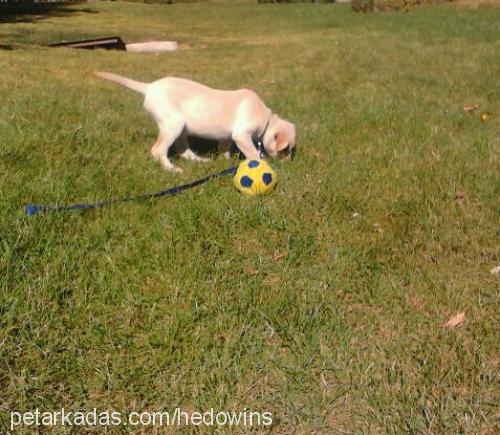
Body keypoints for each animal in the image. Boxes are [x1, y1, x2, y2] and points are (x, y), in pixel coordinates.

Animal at [94, 71, 296, 172]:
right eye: (285, 150)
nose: (289, 164)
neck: (267, 118)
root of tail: (150, 87)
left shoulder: (228, 137)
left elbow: (225, 148)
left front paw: (225, 160)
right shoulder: (241, 135)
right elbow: (253, 153)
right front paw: (262, 164)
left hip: (181, 127)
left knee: (183, 150)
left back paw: (200, 160)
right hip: (173, 124)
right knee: (158, 150)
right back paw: (172, 169)